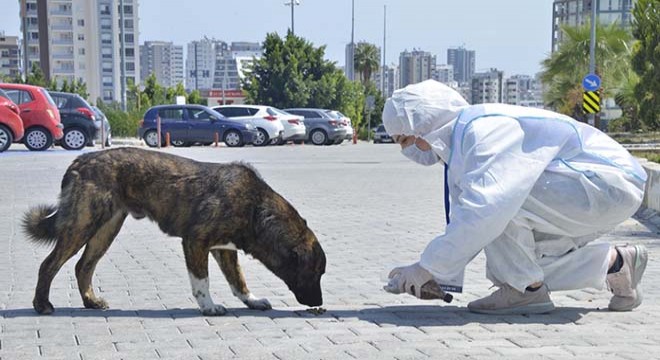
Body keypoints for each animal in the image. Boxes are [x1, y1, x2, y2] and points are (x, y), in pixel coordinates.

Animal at [21, 147, 326, 316]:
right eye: (315, 273)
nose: (319, 303)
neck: (255, 207)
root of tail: (80, 160)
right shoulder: (195, 242)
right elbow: (202, 282)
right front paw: (209, 307)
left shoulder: (224, 250)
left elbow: (238, 281)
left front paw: (250, 301)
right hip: (82, 225)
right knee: (49, 265)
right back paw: (42, 304)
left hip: (105, 229)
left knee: (83, 266)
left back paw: (90, 301)